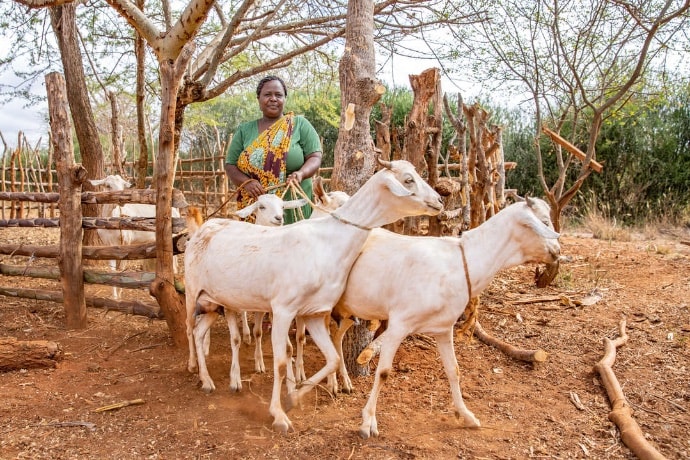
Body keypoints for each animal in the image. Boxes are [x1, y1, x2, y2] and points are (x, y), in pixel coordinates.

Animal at [183, 159, 440, 434]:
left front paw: (294, 396)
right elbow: (282, 362)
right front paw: (279, 414)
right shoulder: (283, 309)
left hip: (214, 303)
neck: (328, 243)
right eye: (408, 179)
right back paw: (195, 369)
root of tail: (204, 227)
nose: (439, 201)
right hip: (192, 292)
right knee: (189, 329)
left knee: (199, 332)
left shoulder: (315, 312)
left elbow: (333, 359)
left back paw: (208, 380)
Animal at [330, 198, 560, 438]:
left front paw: (467, 416)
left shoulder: (443, 328)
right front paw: (368, 422)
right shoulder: (399, 324)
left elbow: (454, 370)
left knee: (335, 336)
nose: (558, 251)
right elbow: (383, 372)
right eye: (544, 221)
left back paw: (343, 382)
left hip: (348, 309)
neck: (461, 263)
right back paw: (332, 384)